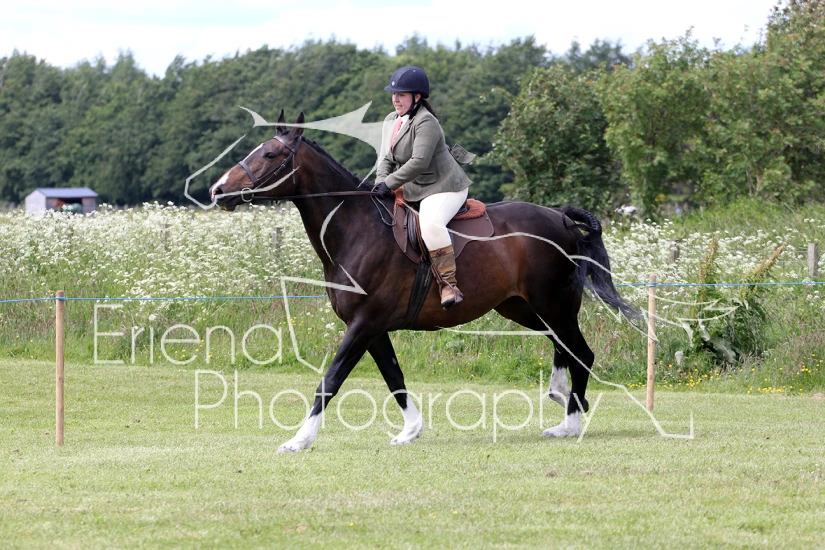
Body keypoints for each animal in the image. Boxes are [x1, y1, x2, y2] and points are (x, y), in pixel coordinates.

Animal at [210, 111, 639, 452]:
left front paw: (299, 440)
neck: (356, 229)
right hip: (522, 307)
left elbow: (330, 380)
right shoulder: (371, 327)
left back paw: (570, 423)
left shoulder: (364, 324)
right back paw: (561, 398)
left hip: (552, 303)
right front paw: (411, 431)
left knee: (580, 352)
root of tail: (560, 217)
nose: (217, 191)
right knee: (562, 346)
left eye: (270, 154)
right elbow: (394, 376)